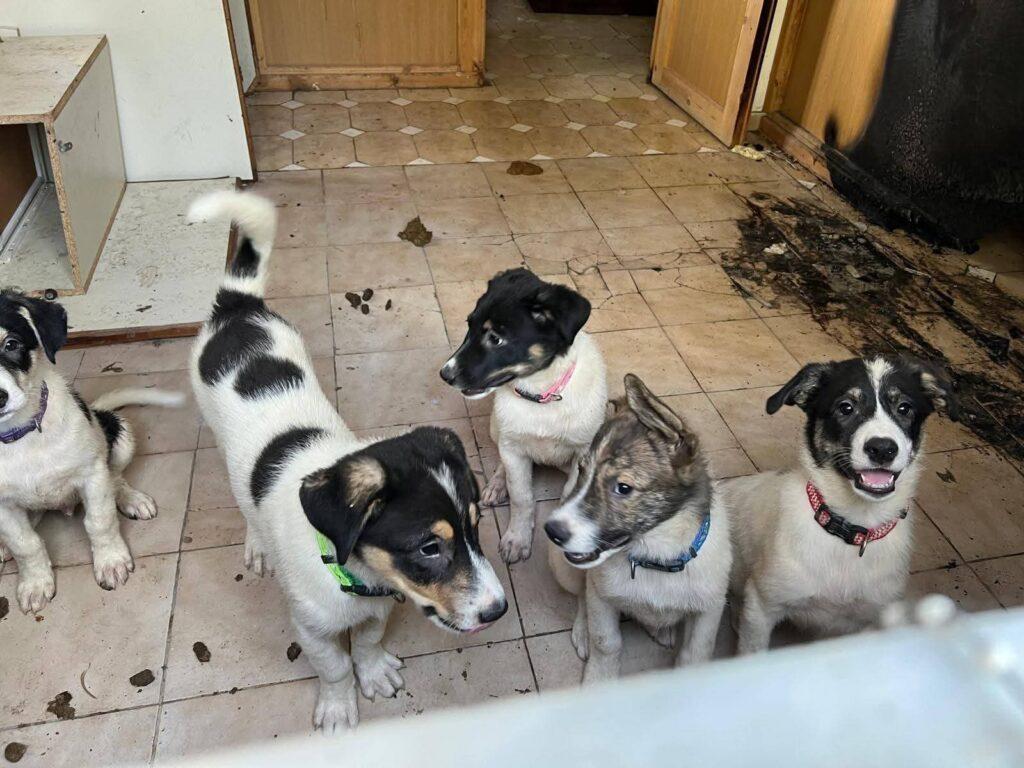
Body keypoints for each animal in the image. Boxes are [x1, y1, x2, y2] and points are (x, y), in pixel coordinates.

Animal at [0, 290, 181, 613]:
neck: (22, 434)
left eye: (11, 344)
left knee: (116, 478)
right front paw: (34, 583)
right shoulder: (3, 506)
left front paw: (111, 561)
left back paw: (131, 499)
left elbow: (99, 520)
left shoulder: (92, 473)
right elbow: (25, 543)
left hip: (118, 432)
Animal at [187, 192, 507, 734]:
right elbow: (334, 666)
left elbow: (369, 643)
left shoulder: (380, 604)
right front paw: (339, 706)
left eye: (476, 526)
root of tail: (238, 306)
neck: (350, 571)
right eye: (428, 548)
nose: (498, 611)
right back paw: (256, 543)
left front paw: (373, 672)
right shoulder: (311, 627)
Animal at [440, 268, 607, 563]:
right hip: (497, 428)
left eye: (495, 338)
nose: (445, 375)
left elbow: (569, 494)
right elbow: (522, 497)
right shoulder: (514, 448)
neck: (539, 395)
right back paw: (497, 485)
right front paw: (517, 539)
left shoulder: (583, 453)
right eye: (469, 326)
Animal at [544, 374, 731, 683]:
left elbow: (696, 654)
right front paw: (599, 678)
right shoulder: (602, 597)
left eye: (623, 488)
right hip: (564, 571)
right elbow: (606, 642)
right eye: (583, 471)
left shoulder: (710, 609)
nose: (552, 532)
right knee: (582, 594)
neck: (654, 556)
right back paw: (583, 630)